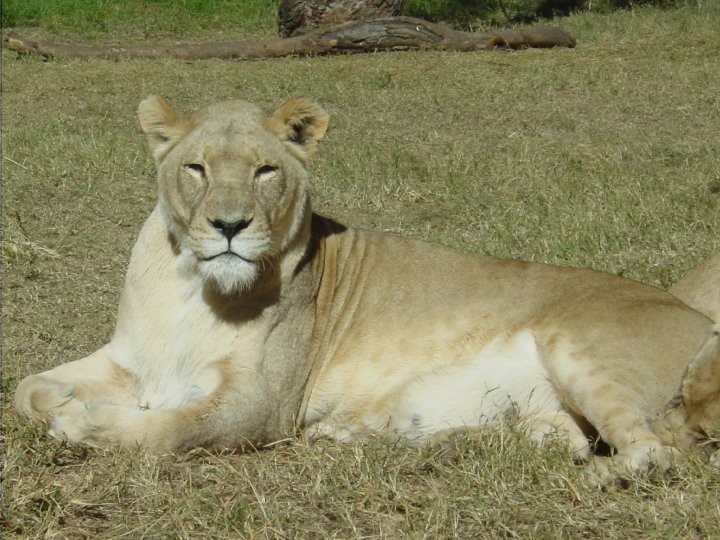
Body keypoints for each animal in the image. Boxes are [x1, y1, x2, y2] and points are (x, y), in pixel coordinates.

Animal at [15, 96, 720, 485]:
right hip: (544, 416)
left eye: (265, 171)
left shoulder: (261, 406)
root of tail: (693, 313)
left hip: (580, 348)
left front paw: (83, 424)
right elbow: (26, 388)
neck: (192, 286)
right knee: (563, 440)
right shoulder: (132, 361)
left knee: (655, 453)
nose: (229, 226)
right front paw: (61, 404)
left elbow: (171, 431)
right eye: (197, 168)